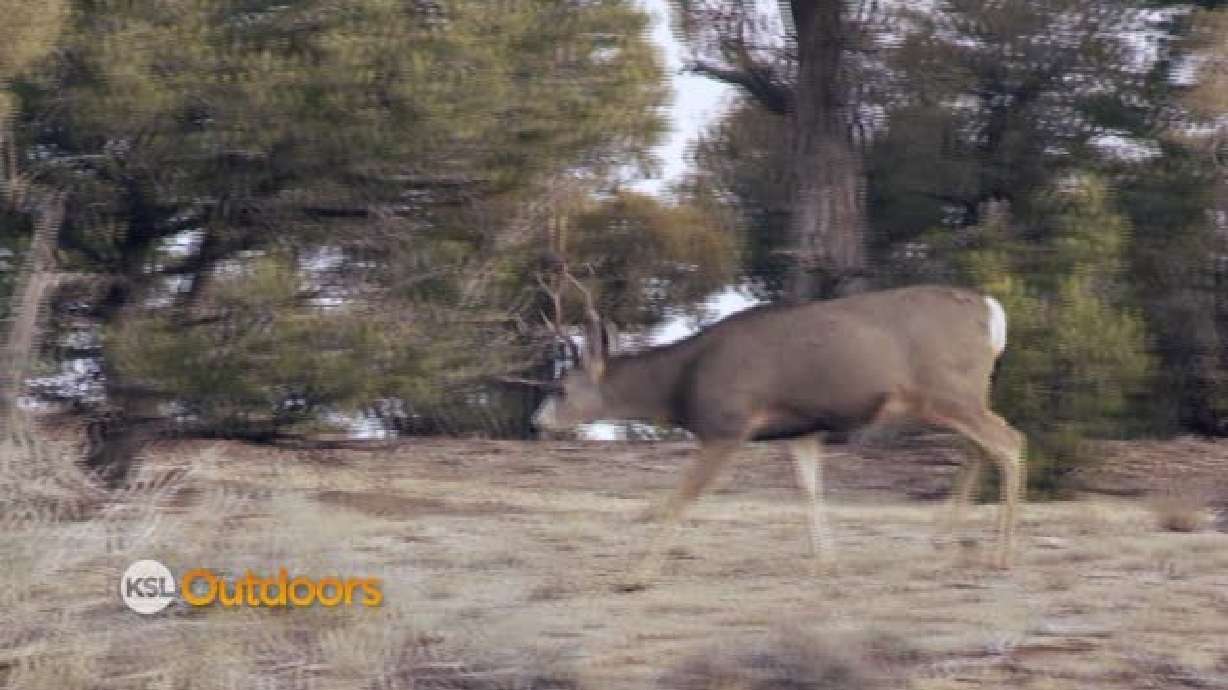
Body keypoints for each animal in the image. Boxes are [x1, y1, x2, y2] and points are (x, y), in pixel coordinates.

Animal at [532, 279, 1026, 590]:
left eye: (560, 387)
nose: (537, 422)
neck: (683, 382)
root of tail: (993, 312)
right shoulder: (800, 428)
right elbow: (810, 490)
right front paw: (826, 563)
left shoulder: (725, 425)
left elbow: (682, 498)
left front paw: (635, 575)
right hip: (960, 394)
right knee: (981, 446)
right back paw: (947, 540)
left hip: (947, 391)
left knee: (1008, 441)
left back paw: (1000, 555)